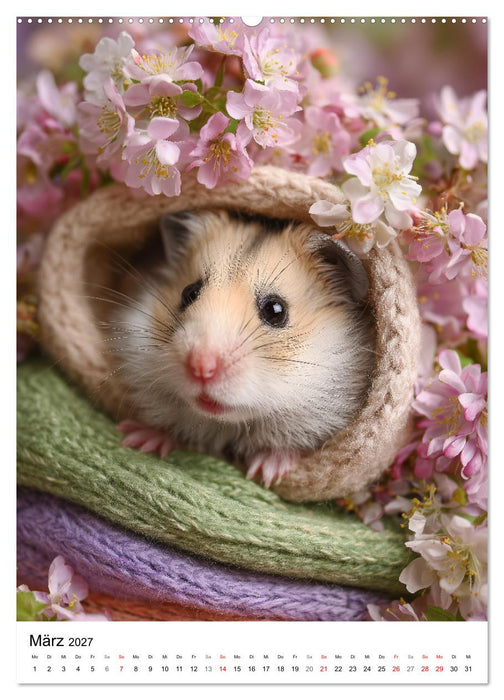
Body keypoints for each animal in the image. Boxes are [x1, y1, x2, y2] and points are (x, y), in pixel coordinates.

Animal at [109, 209, 375, 487]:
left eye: (276, 310)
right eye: (189, 293)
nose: (201, 367)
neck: (228, 423)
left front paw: (267, 471)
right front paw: (137, 439)